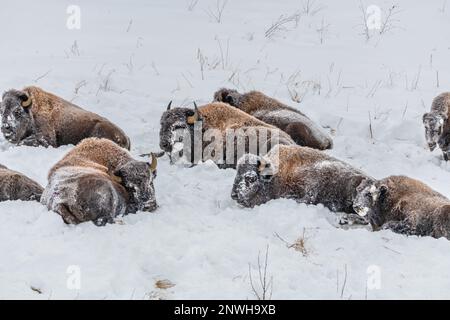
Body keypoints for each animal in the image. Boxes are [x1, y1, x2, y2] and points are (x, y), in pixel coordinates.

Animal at [0, 85, 130, 149]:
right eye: (1, 111)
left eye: (17, 111)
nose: (5, 127)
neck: (32, 112)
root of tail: (125, 137)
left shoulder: (48, 140)